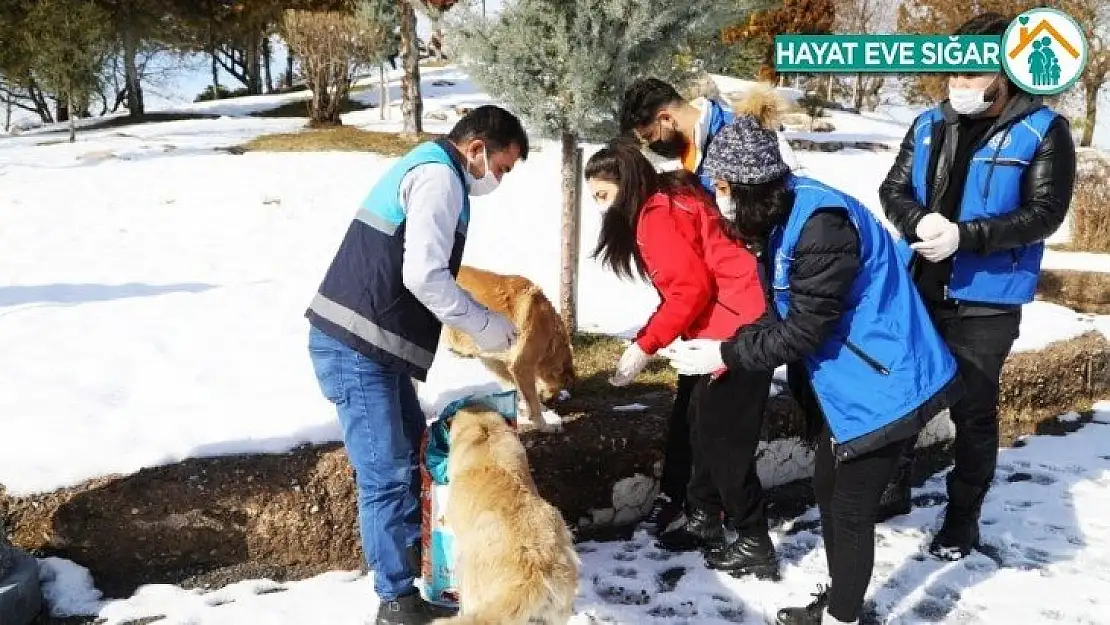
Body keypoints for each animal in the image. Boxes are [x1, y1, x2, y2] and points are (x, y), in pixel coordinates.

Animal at [444, 264, 577, 430]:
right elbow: (532, 402)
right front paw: (544, 423)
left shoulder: (494, 361)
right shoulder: (521, 366)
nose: (562, 395)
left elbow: (516, 390)